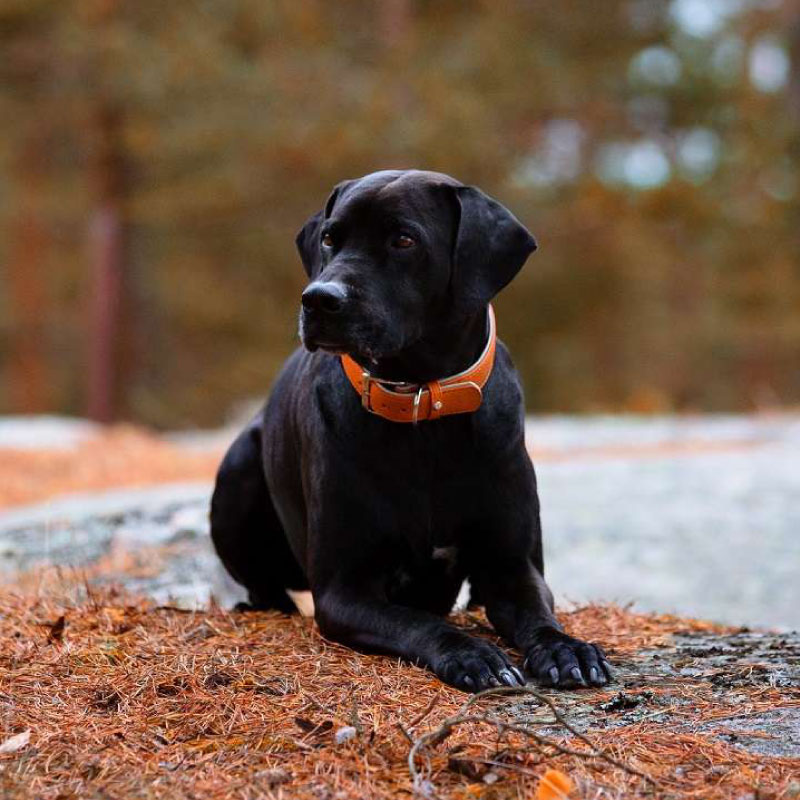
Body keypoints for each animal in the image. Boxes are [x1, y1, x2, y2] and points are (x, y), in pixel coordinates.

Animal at [211, 170, 612, 692]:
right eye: (330, 238)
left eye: (404, 240)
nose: (319, 298)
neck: (422, 404)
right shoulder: (344, 590)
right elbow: (418, 621)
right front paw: (471, 654)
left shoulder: (512, 565)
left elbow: (539, 615)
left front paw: (568, 650)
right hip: (238, 468)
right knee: (265, 584)